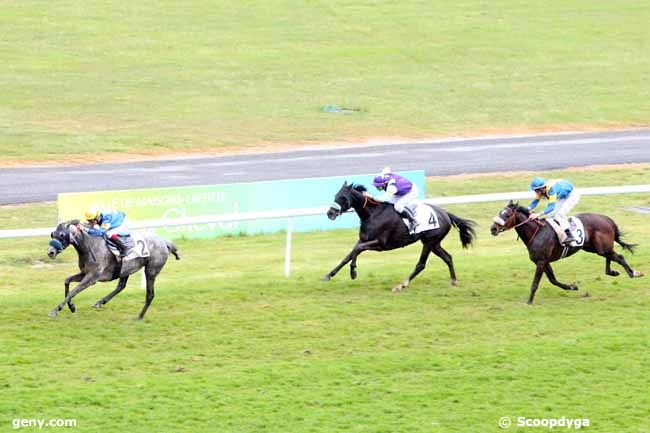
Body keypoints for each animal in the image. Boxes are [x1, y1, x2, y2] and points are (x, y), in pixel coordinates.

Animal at [47, 221, 180, 318]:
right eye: (52, 234)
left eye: (62, 235)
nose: (50, 252)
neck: (90, 245)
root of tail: (164, 241)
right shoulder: (84, 273)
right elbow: (67, 281)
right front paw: (71, 306)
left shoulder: (92, 278)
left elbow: (73, 291)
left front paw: (56, 310)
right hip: (127, 269)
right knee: (121, 286)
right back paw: (100, 302)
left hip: (151, 271)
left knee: (150, 294)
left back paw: (139, 317)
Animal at [322, 181, 474, 290]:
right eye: (335, 196)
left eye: (343, 198)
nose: (330, 213)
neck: (373, 214)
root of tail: (445, 213)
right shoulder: (363, 239)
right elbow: (349, 255)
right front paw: (329, 275)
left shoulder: (380, 243)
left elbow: (357, 250)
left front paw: (353, 272)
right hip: (434, 243)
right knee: (448, 257)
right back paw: (453, 281)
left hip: (429, 242)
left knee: (421, 264)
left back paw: (401, 285)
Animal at [488, 200, 640, 304]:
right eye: (500, 213)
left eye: (507, 215)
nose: (493, 229)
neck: (536, 232)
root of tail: (607, 219)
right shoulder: (543, 261)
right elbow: (553, 280)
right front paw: (572, 286)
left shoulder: (541, 261)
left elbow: (535, 283)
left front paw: (529, 301)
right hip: (594, 248)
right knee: (611, 256)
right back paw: (613, 272)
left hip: (600, 247)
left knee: (619, 257)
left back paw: (633, 273)